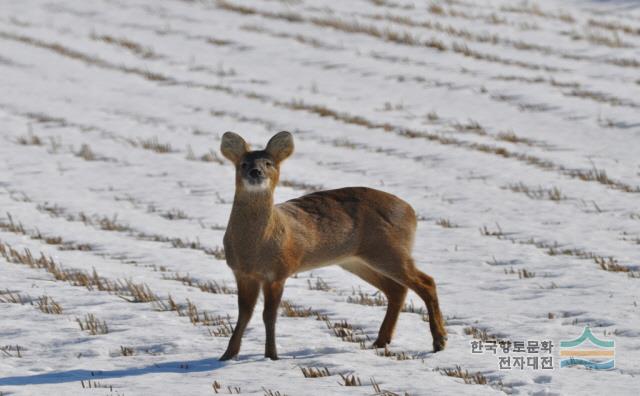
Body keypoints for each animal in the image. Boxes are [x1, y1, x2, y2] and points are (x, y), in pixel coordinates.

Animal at [218, 131, 448, 360]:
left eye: (269, 163)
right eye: (243, 164)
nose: (256, 172)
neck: (254, 249)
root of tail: (411, 212)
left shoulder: (279, 271)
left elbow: (269, 315)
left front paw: (271, 356)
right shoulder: (242, 273)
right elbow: (244, 314)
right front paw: (227, 355)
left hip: (390, 249)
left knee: (427, 282)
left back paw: (439, 341)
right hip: (357, 260)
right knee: (397, 289)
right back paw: (381, 341)